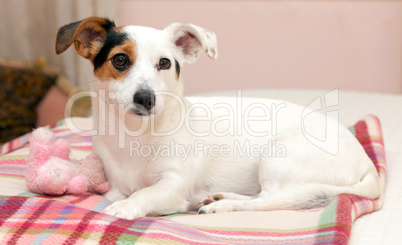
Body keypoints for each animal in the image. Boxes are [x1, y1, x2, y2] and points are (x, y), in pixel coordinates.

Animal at [56, 17, 380, 220]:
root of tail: (366, 163)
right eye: (120, 60)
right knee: (265, 197)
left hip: (278, 154)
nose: (146, 99)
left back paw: (222, 207)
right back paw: (221, 197)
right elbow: (115, 193)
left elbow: (143, 194)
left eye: (165, 63)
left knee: (270, 200)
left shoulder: (173, 185)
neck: (136, 133)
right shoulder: (114, 186)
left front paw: (126, 207)